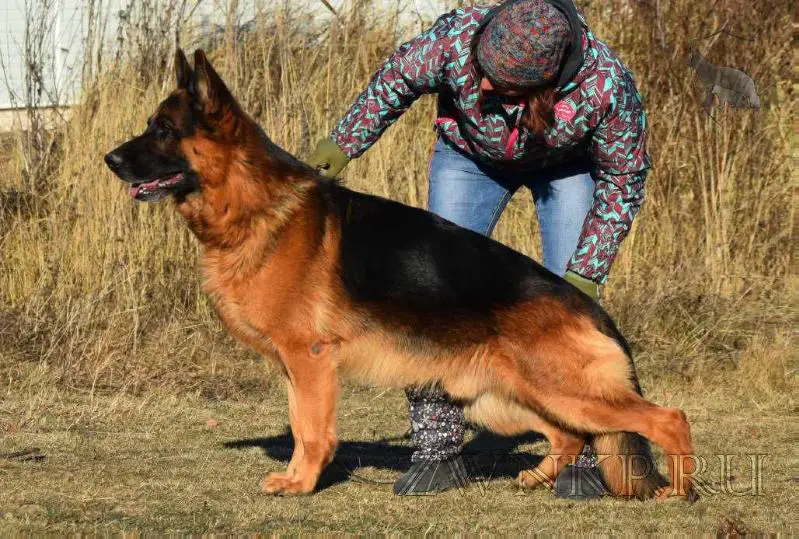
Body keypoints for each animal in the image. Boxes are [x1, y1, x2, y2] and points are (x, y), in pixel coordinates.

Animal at [104, 50, 692, 502]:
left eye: (163, 130)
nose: (109, 159)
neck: (252, 202)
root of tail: (588, 304)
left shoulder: (310, 361)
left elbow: (311, 431)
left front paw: (301, 484)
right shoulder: (295, 368)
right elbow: (297, 425)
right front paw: (294, 478)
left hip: (562, 392)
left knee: (668, 418)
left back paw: (678, 492)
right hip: (504, 398)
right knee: (568, 437)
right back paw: (536, 478)